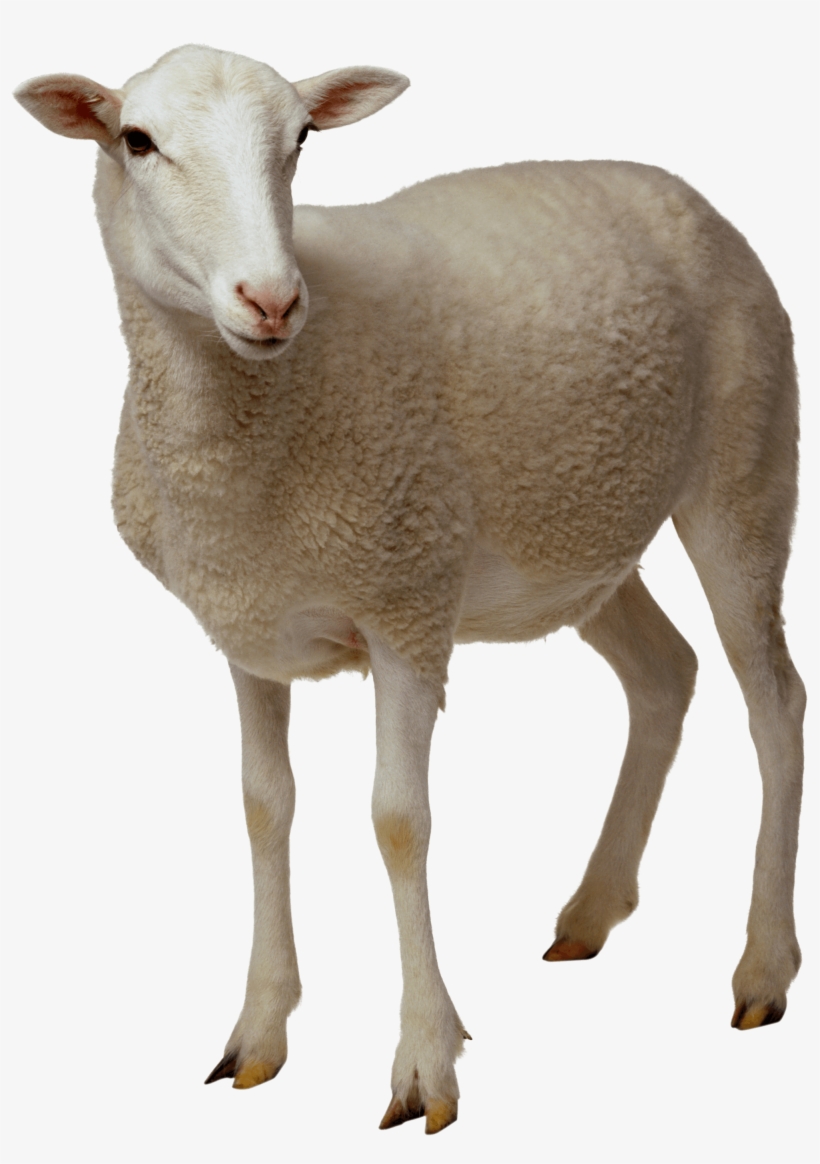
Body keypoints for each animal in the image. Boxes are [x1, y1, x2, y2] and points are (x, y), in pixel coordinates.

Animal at [14, 44, 805, 1135]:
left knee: (773, 701)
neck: (259, 416)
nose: (271, 300)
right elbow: (263, 806)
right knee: (664, 673)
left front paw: (426, 1062)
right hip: (579, 539)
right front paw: (260, 1032)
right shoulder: (248, 626)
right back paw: (592, 910)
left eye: (302, 139)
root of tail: (674, 187)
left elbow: (398, 821)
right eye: (135, 140)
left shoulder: (407, 607)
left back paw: (763, 966)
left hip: (745, 463)